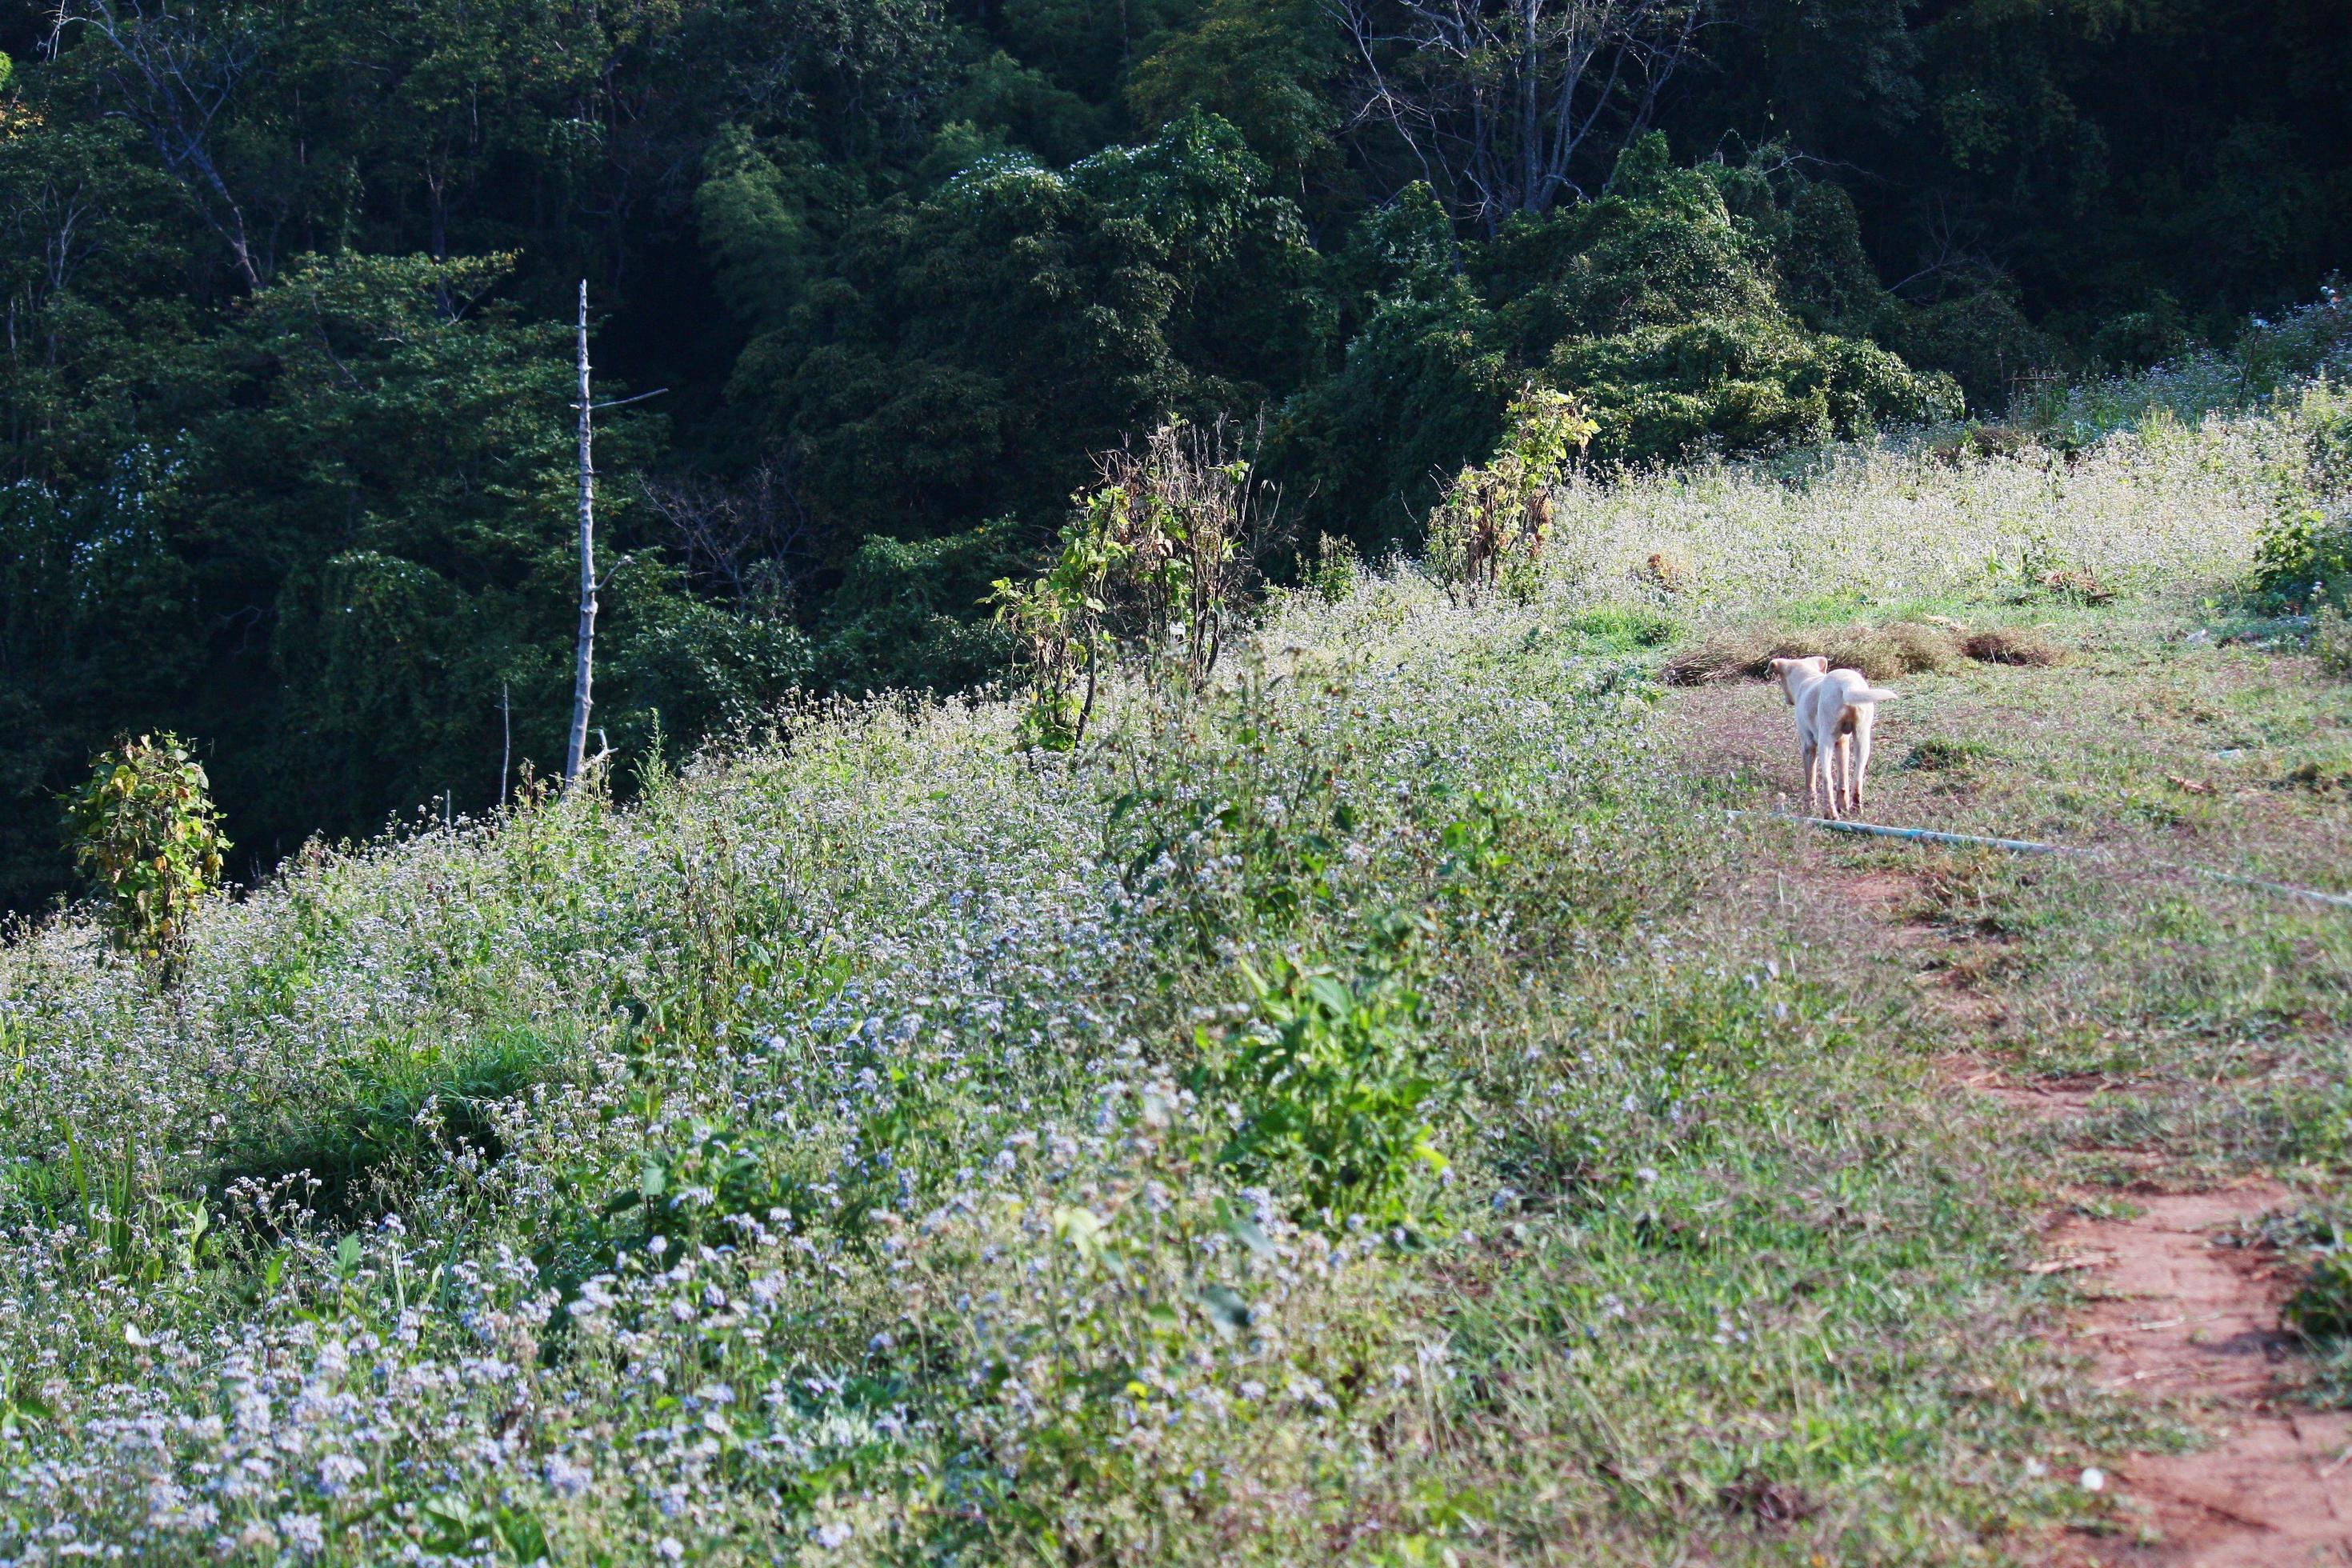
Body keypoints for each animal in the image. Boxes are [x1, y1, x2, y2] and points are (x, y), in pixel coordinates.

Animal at [1768, 658, 1900, 822]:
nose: (1787, 701)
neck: (1807, 678)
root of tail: (1847, 684)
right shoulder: (1842, 743)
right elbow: (1843, 780)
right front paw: (1843, 806)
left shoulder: (1808, 746)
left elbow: (1810, 780)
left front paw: (1810, 805)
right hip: (1862, 738)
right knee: (1856, 777)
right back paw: (1854, 809)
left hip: (1825, 741)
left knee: (1827, 779)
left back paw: (1830, 814)